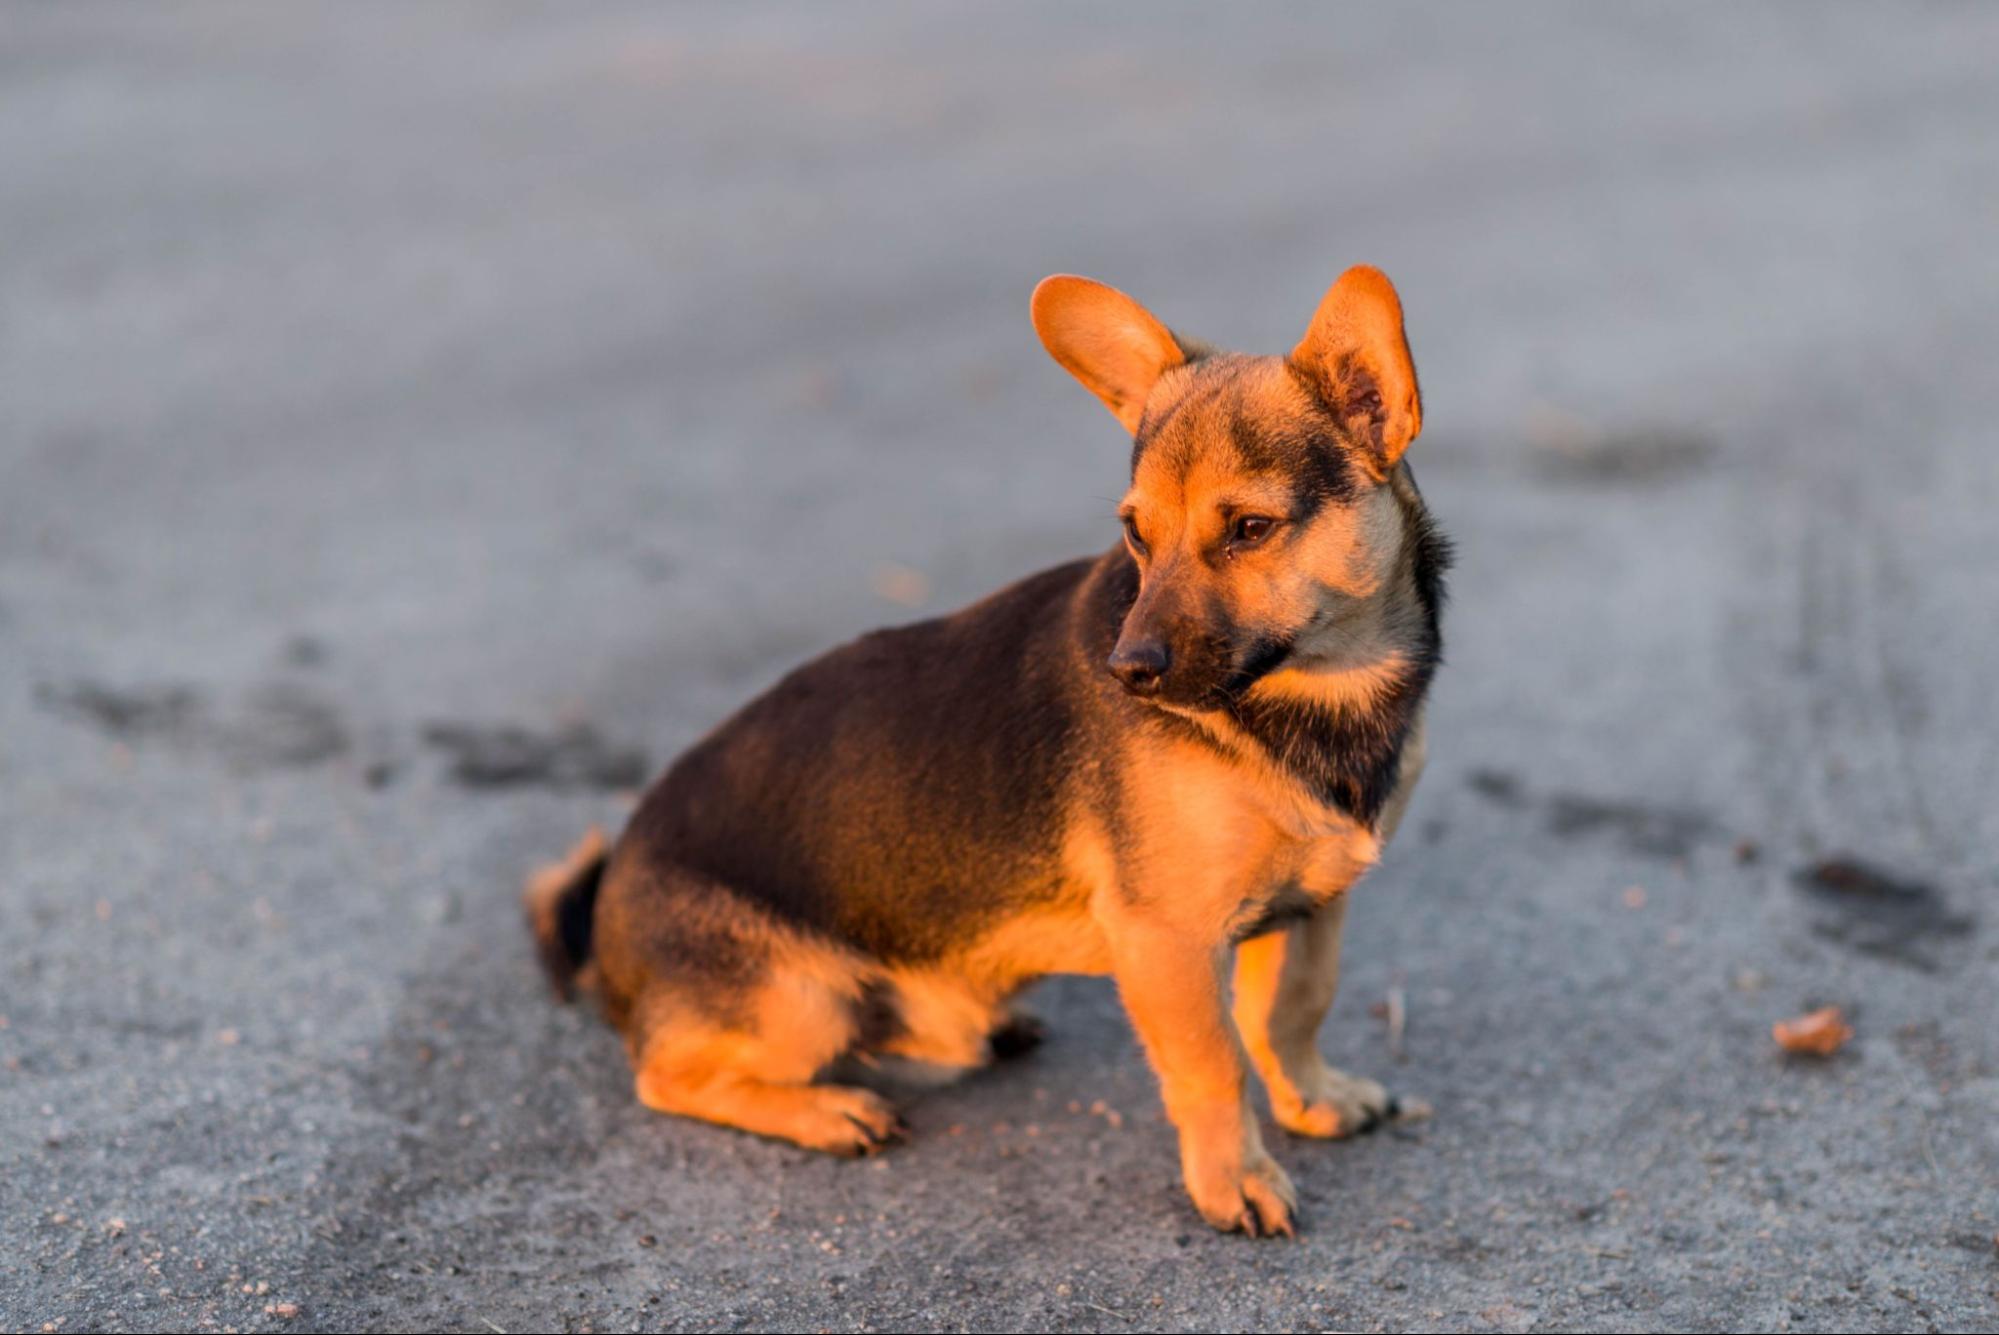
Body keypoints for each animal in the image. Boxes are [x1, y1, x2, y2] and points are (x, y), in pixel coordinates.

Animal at [523, 263, 1447, 1239]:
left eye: (1249, 529)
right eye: (1136, 533)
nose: (1126, 670)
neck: (1317, 695)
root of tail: (604, 913)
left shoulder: (1311, 906)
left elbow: (1290, 1012)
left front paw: (1312, 1100)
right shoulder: (1169, 941)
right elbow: (1214, 1062)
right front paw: (1232, 1177)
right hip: (799, 999)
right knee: (663, 1074)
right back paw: (826, 1110)